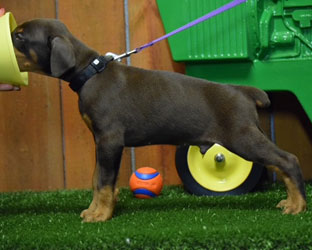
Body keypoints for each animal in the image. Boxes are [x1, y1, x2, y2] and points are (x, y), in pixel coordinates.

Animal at [11, 19, 306, 223]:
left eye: (20, 36)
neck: (90, 72)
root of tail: (244, 91)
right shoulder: (100, 142)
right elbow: (97, 178)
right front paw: (95, 210)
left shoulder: (109, 140)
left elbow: (103, 182)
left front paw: (101, 215)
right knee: (280, 163)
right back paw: (290, 201)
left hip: (241, 138)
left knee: (288, 160)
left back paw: (298, 205)